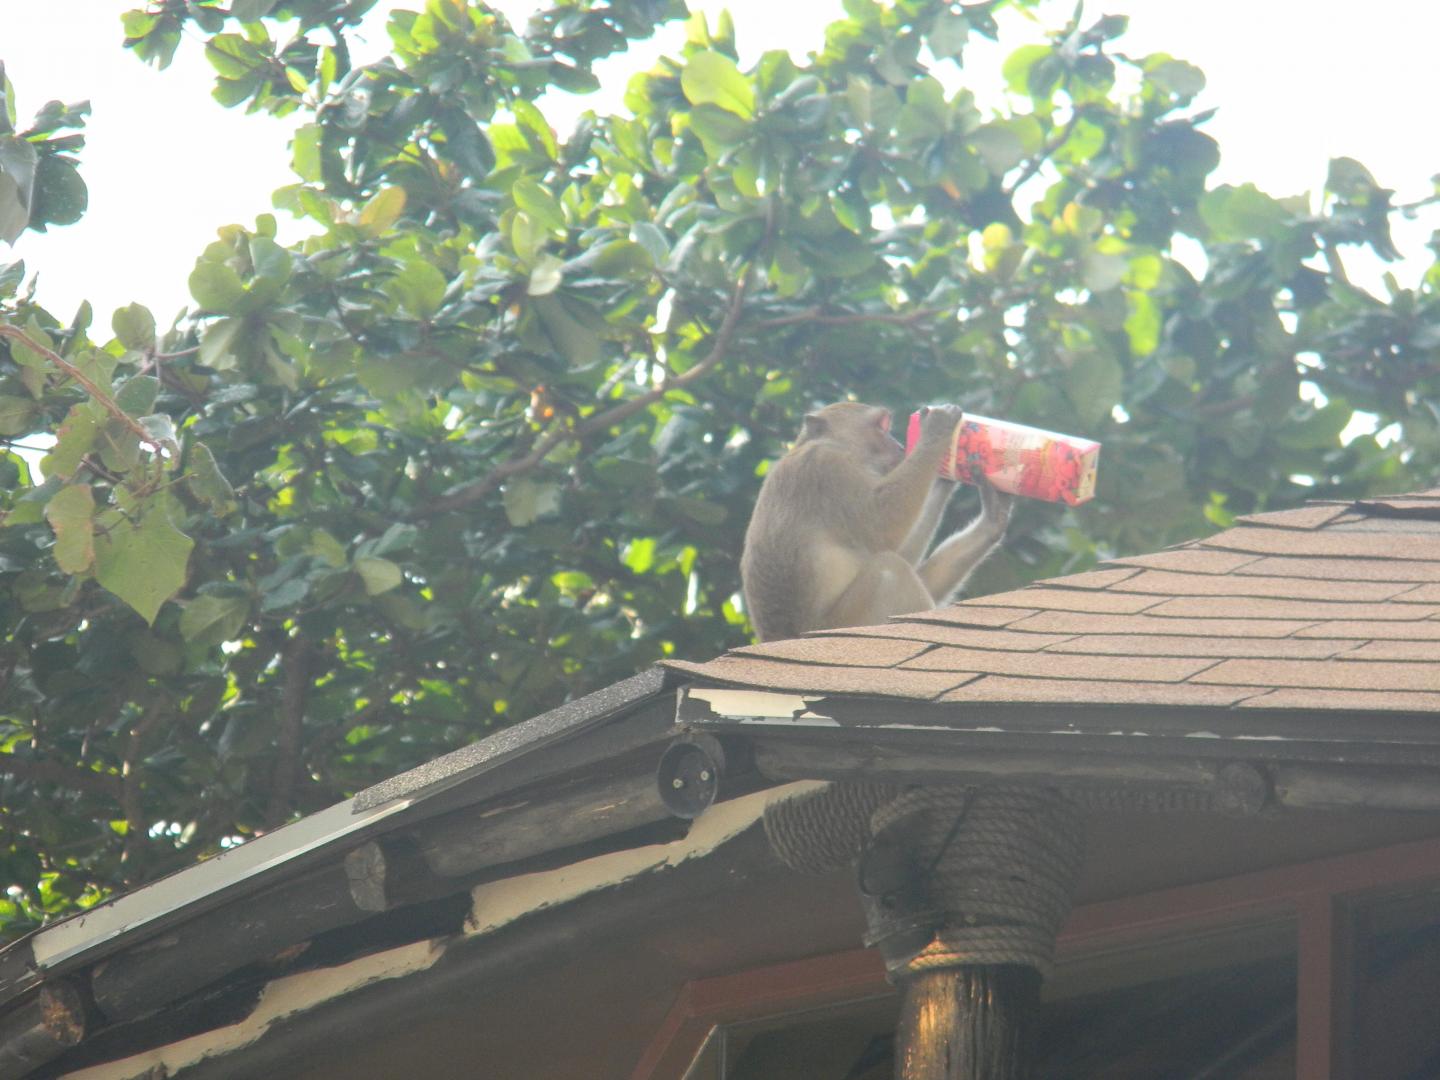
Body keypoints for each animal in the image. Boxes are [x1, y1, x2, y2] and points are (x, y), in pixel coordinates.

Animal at [740, 402, 1015, 642]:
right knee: (890, 570)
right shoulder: (827, 466)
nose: (900, 445)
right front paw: (937, 427)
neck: (838, 445)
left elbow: (899, 549)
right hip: (844, 622)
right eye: (881, 426)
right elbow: (881, 526)